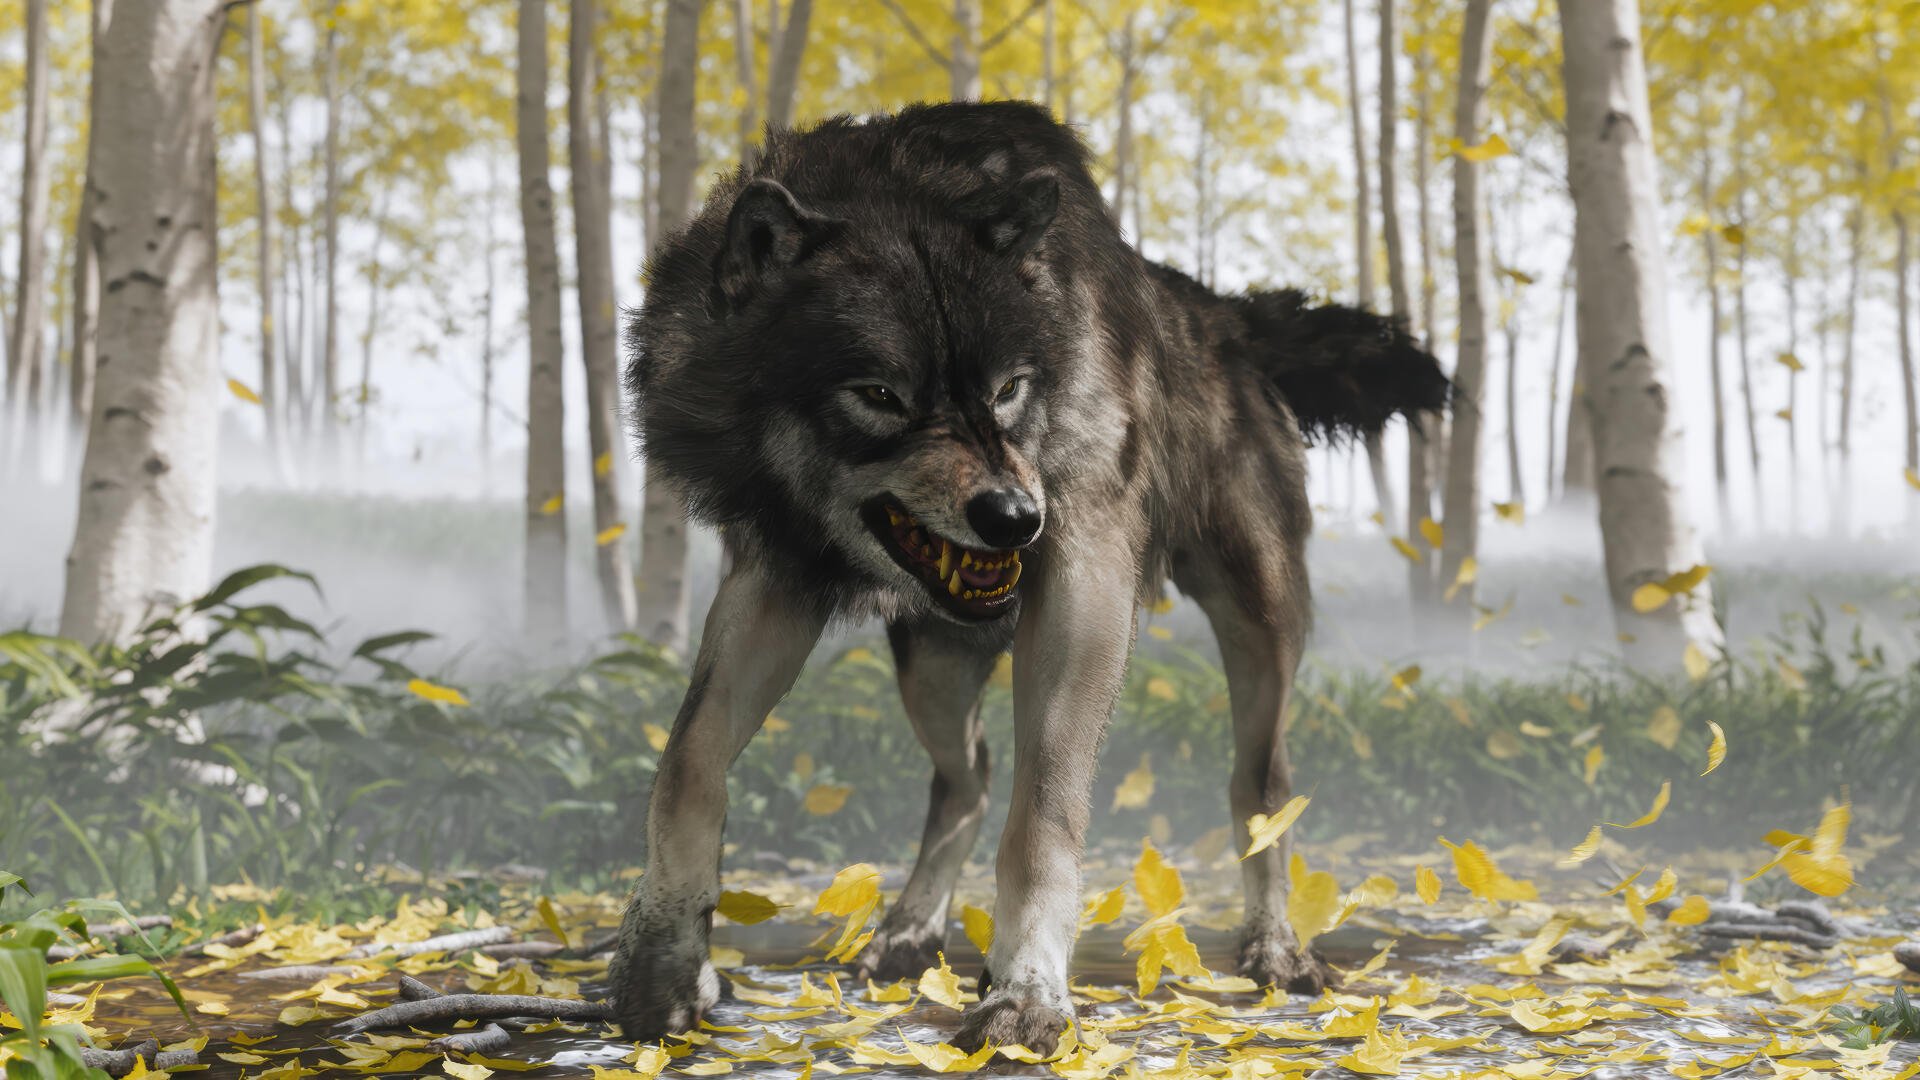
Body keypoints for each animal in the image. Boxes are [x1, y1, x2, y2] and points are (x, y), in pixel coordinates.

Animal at [612, 100, 1447, 1053]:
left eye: (1009, 388)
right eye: (882, 396)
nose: (1016, 519)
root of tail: (1219, 311)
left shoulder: (1085, 568)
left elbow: (1043, 814)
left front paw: (1027, 991)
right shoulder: (775, 579)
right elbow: (687, 764)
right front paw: (663, 961)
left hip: (1262, 629)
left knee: (1260, 786)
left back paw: (1274, 949)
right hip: (932, 671)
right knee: (968, 775)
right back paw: (909, 931)